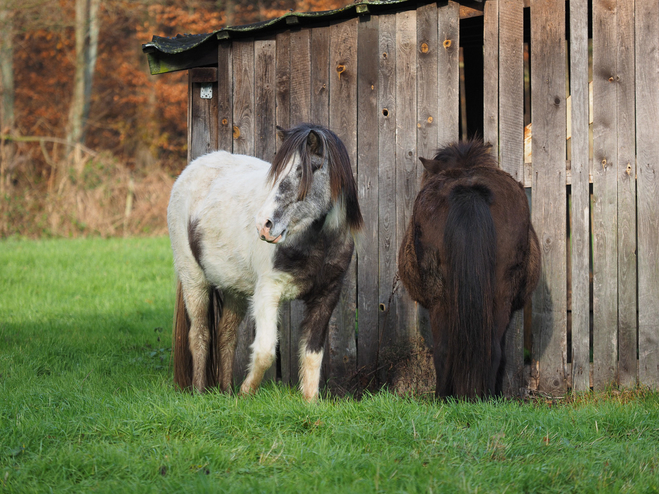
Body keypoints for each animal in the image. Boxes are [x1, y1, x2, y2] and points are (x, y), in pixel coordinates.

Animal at [165, 122, 360, 402]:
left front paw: (309, 404)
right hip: (194, 281)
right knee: (199, 334)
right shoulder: (268, 292)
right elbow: (266, 350)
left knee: (226, 335)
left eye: (303, 171)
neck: (317, 243)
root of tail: (192, 168)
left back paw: (225, 392)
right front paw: (246, 393)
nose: (264, 225)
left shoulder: (326, 296)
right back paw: (200, 393)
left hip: (233, 289)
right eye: (277, 173)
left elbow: (312, 355)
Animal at [400, 141, 540, 400]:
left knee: (444, 349)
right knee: (492, 349)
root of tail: (469, 189)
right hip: (499, 296)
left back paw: (443, 397)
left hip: (439, 297)